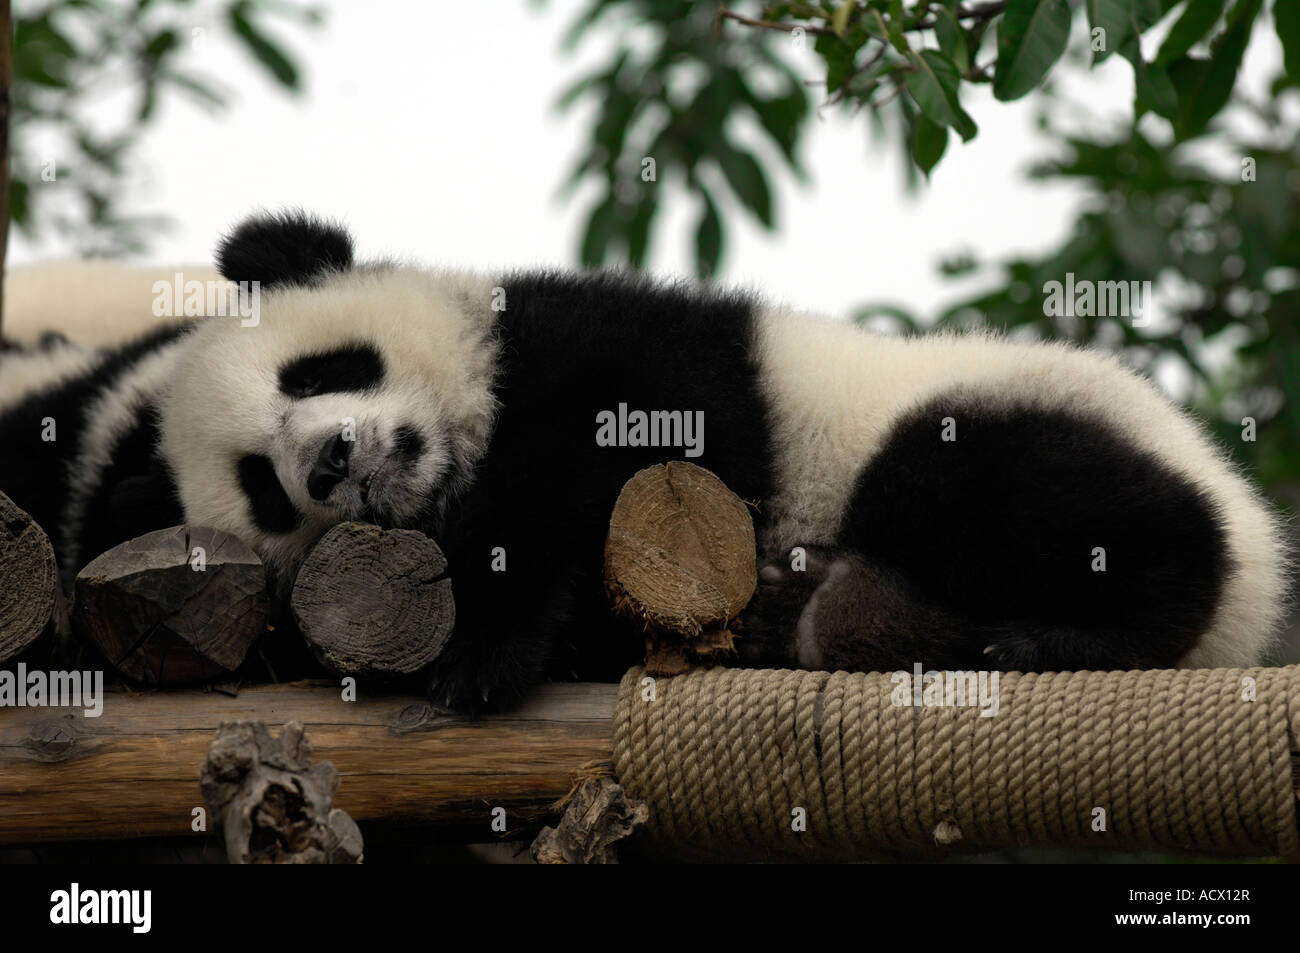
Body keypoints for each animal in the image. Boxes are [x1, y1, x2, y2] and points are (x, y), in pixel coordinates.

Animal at [0, 210, 1289, 712]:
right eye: (264, 492)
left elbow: (595, 455)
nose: (333, 461)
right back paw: (831, 616)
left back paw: (1073, 632)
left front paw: (480, 652)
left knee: (1015, 492)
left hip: (963, 417)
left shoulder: (606, 343)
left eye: (319, 371)